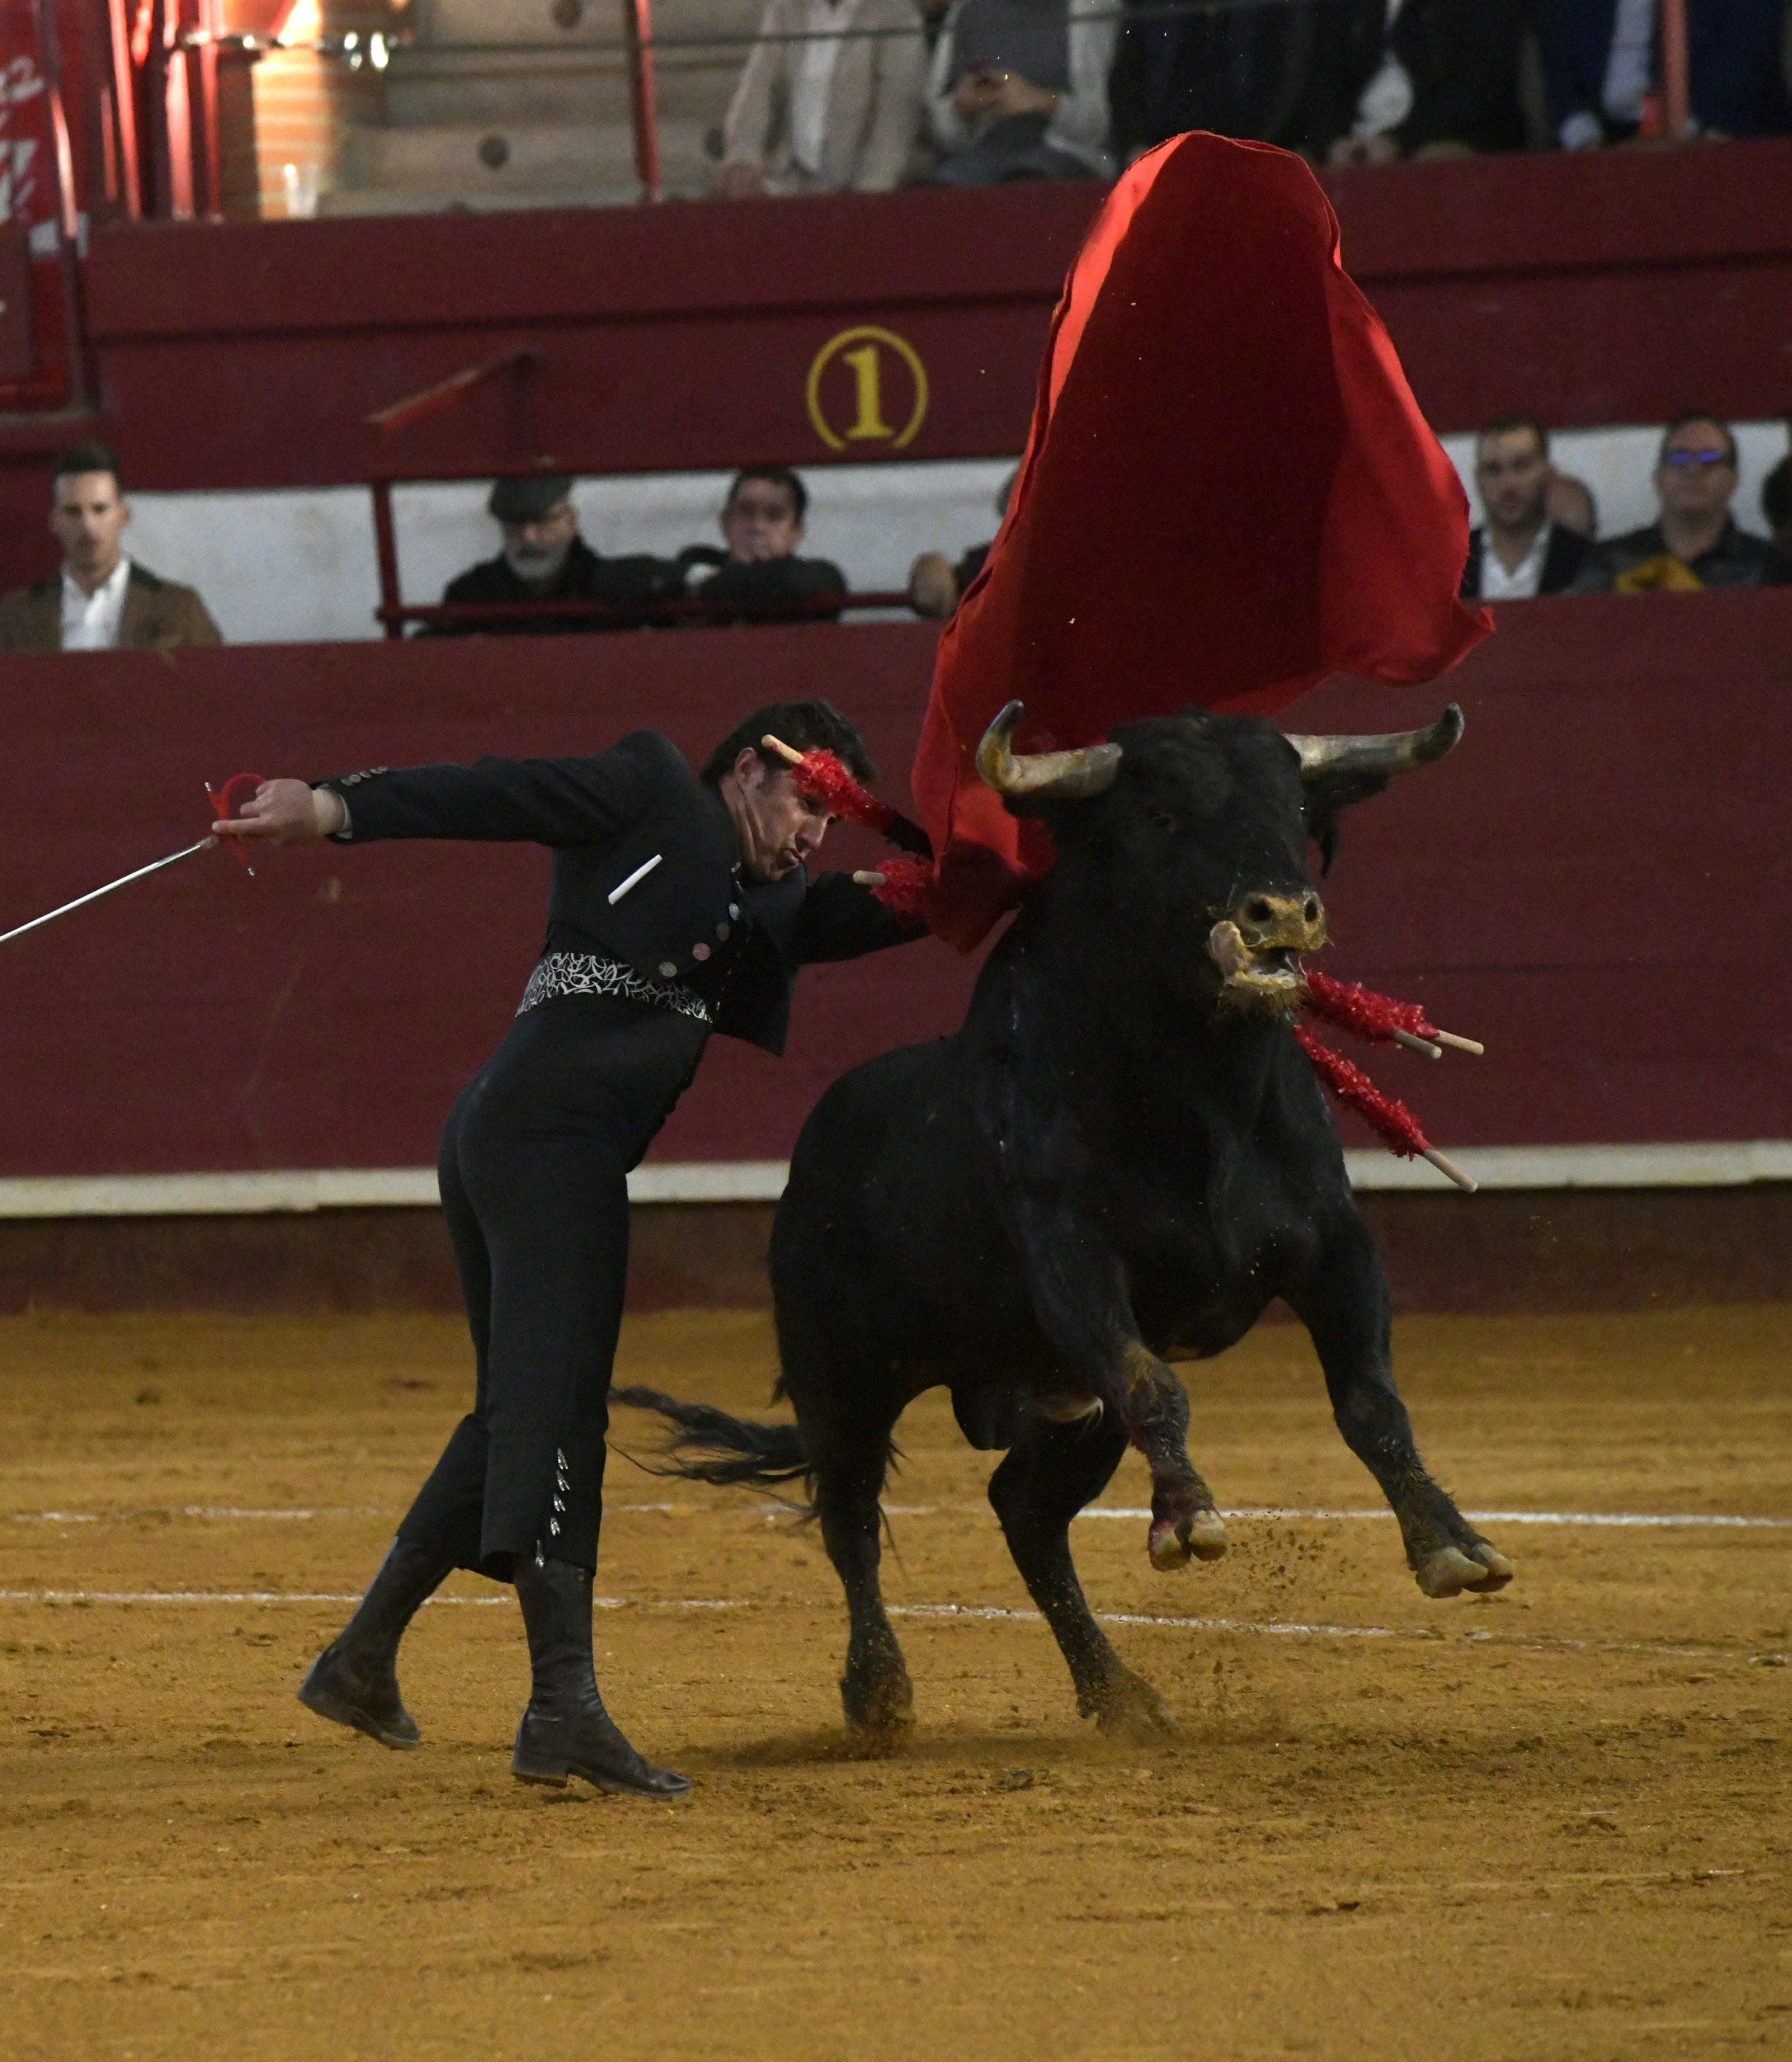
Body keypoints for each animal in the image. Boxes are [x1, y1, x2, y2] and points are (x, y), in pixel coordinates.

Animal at [619, 701, 1509, 1732]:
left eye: (1295, 807)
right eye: (1159, 815)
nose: (1282, 913)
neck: (1203, 1093)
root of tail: (811, 1154)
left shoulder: (1334, 1248)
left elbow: (1370, 1398)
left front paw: (1451, 1544)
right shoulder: (1072, 1262)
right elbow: (1158, 1385)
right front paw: (1188, 1519)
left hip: (1064, 1404)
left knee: (1025, 1511)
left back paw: (1116, 1692)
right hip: (840, 1376)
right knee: (850, 1518)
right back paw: (878, 1691)